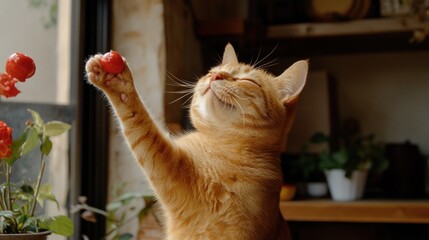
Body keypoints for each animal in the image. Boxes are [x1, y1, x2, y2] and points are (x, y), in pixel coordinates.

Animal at [85, 44, 306, 239]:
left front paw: (120, 83)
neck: (218, 144)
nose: (216, 76)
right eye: (213, 71)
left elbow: (140, 124)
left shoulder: (169, 169)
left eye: (246, 80)